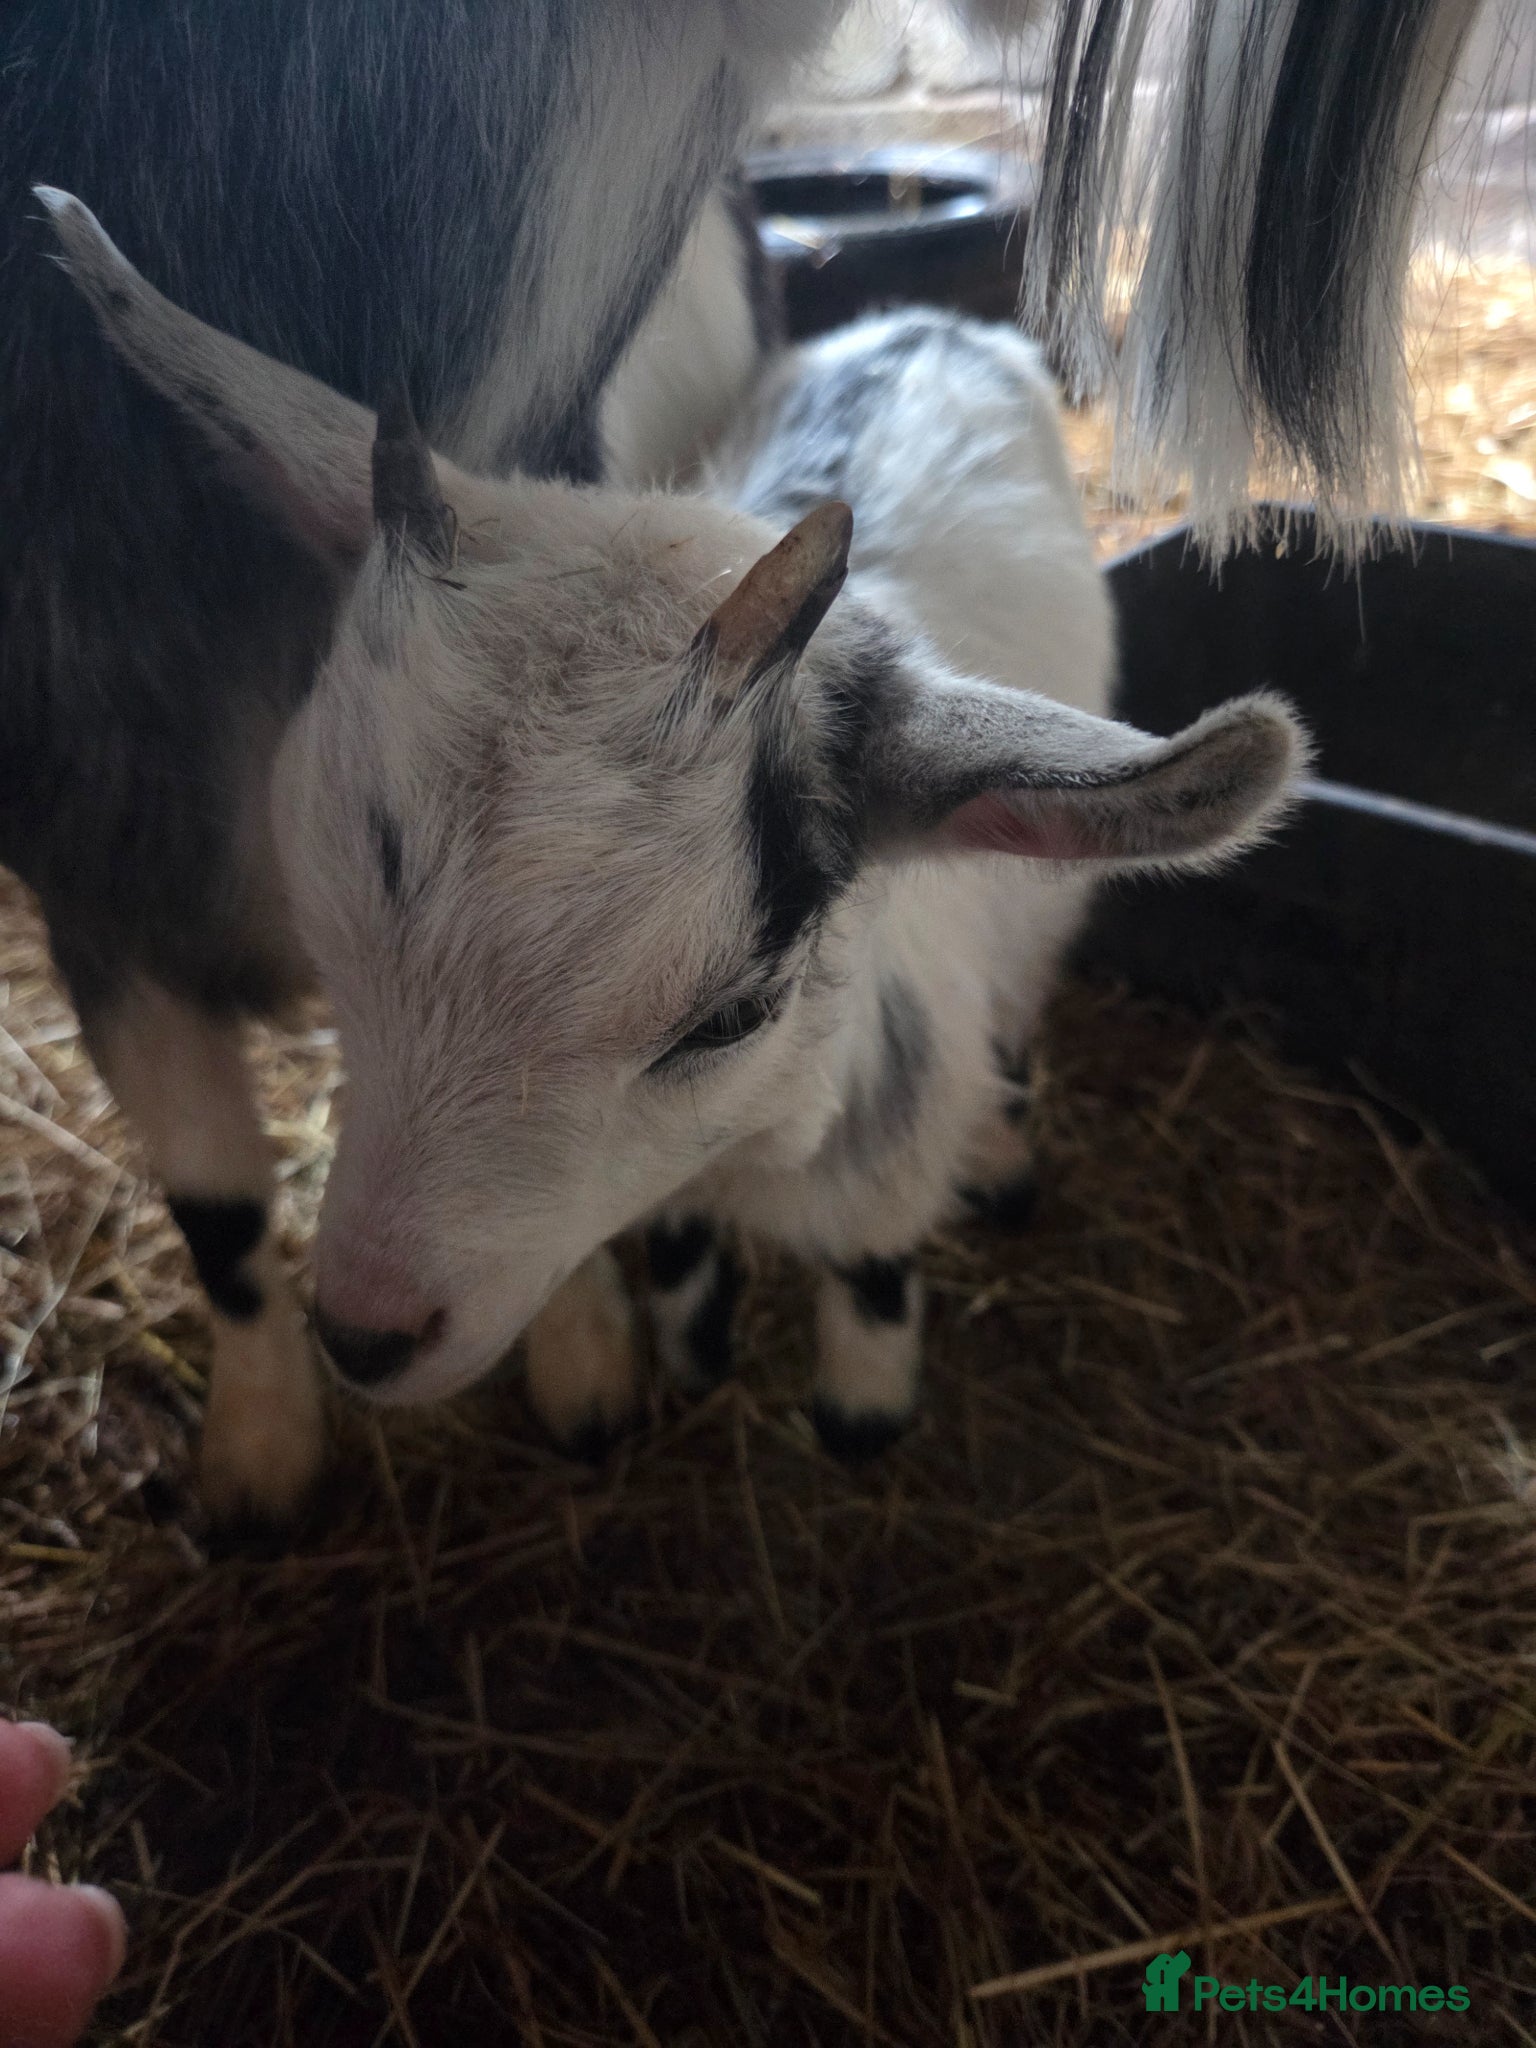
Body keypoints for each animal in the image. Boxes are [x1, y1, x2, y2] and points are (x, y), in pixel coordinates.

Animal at [36, 191, 1308, 1517]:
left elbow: (871, 1274)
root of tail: (933, 324)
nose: (368, 1334)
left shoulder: (878, 1153)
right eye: (334, 955)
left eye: (731, 1014)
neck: (748, 1148)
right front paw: (693, 1341)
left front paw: (864, 1408)